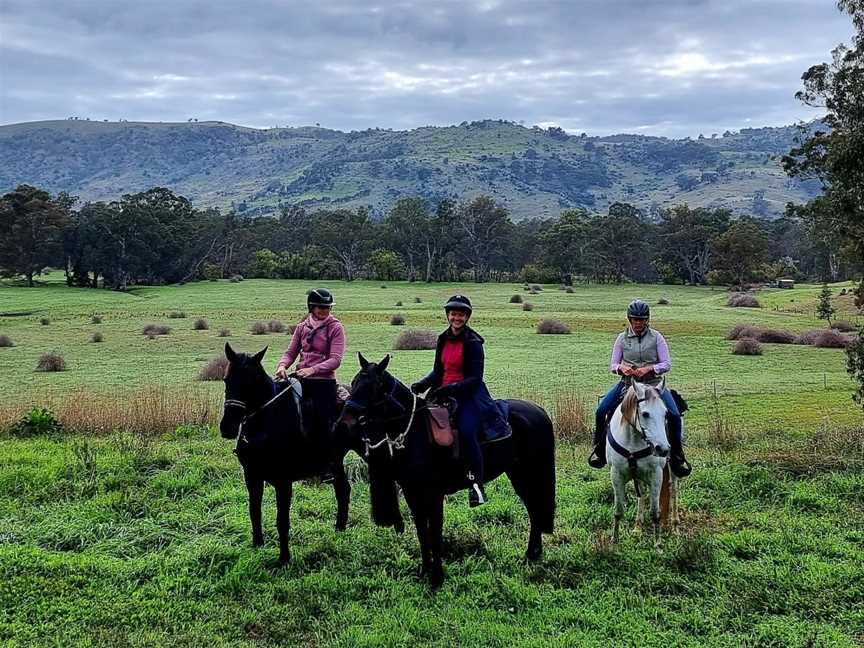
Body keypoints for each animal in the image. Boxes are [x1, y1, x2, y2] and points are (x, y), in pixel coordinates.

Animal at [219, 344, 352, 560]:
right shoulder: (252, 476)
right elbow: (254, 511)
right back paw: (339, 529)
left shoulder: (283, 481)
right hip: (337, 462)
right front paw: (257, 546)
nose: (227, 427)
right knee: (343, 489)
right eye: (226, 379)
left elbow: (282, 521)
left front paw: (284, 559)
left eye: (251, 382)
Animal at [338, 354, 552, 588]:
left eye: (374, 386)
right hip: (518, 474)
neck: (416, 432)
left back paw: (531, 554)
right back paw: (532, 554)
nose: (343, 423)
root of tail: (538, 411)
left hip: (527, 474)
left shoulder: (434, 495)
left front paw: (437, 578)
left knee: (535, 509)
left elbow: (435, 535)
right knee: (534, 510)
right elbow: (422, 532)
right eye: (355, 382)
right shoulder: (413, 493)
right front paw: (424, 571)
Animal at [608, 380, 676, 548]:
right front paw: (614, 541)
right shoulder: (616, 474)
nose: (663, 448)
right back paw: (638, 526)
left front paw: (658, 545)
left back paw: (674, 525)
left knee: (673, 490)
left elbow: (655, 512)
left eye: (665, 413)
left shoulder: (656, 475)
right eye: (645, 414)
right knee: (642, 494)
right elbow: (618, 510)